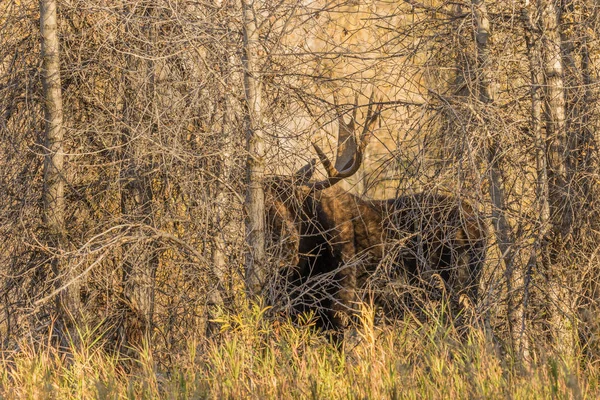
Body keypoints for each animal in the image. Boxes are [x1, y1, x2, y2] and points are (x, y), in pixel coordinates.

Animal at [268, 94, 488, 338]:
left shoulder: (343, 305)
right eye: (267, 206)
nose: (288, 244)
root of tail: (481, 225)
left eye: (295, 204)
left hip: (459, 282)